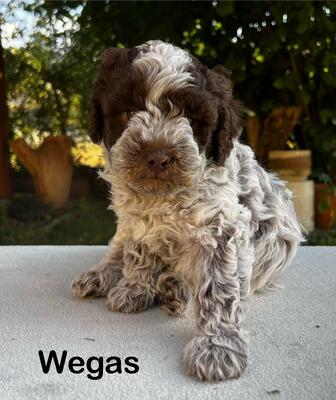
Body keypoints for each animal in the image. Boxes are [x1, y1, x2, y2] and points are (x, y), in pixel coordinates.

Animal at [72, 39, 306, 382]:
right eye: (128, 112)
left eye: (192, 119)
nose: (157, 156)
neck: (164, 198)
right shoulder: (137, 220)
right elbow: (138, 253)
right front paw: (134, 288)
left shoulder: (221, 229)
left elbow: (219, 289)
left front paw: (217, 346)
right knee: (117, 253)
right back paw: (102, 277)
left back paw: (174, 288)